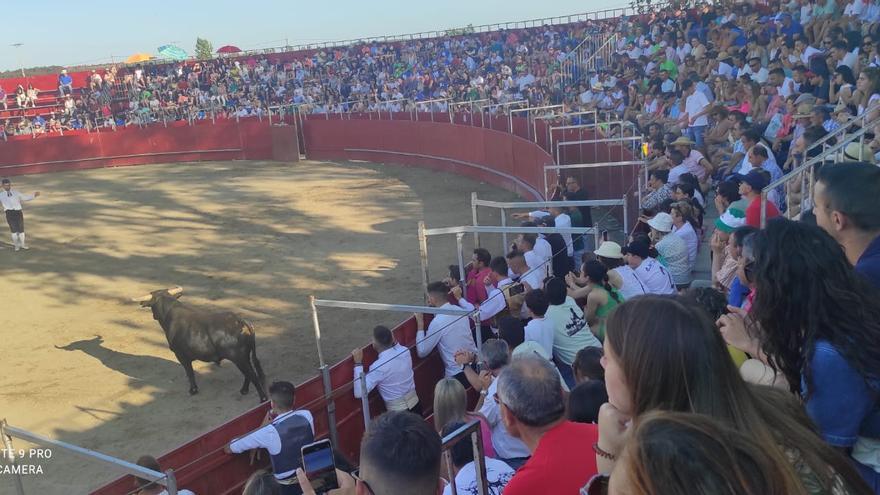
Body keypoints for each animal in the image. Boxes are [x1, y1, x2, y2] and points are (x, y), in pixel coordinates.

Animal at [136, 290, 266, 404]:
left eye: (152, 305)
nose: (153, 316)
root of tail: (242, 322)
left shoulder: (181, 356)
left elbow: (189, 372)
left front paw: (193, 390)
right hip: (244, 358)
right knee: (249, 374)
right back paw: (244, 390)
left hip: (239, 359)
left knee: (252, 375)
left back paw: (263, 399)